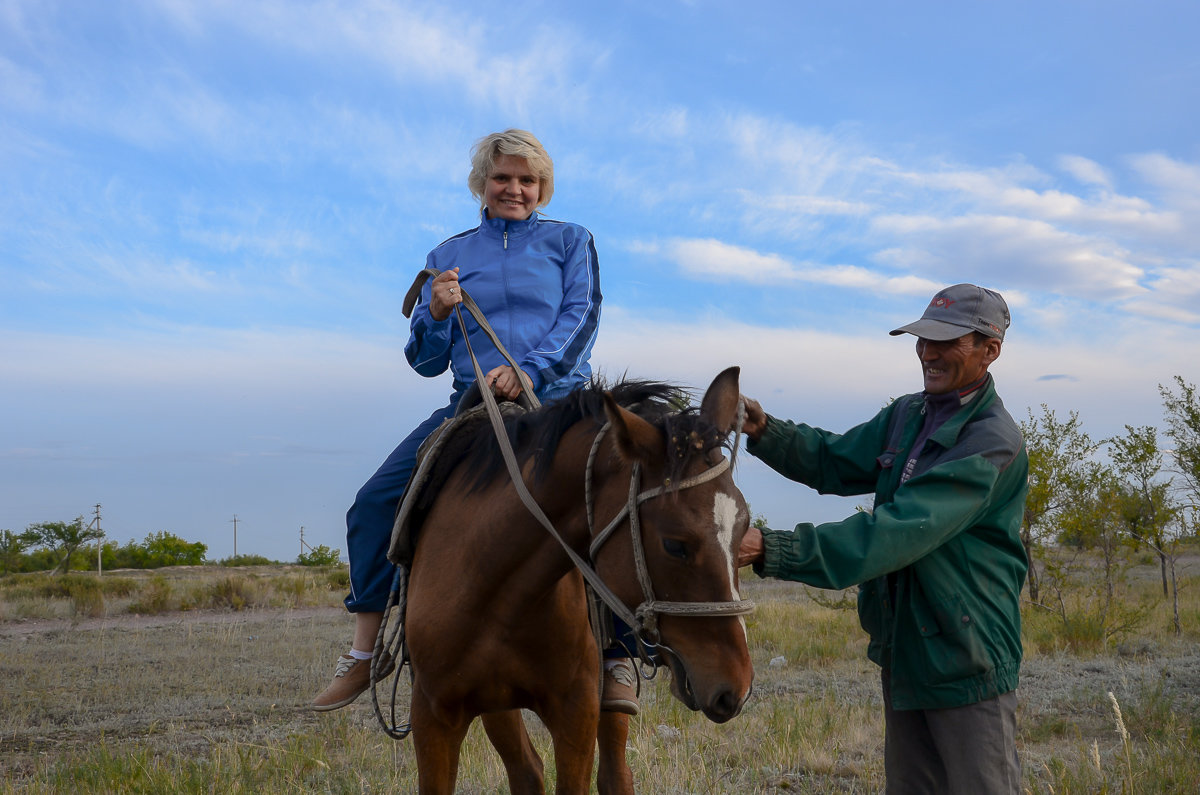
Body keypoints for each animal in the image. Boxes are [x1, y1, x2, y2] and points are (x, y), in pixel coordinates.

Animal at [398, 369, 753, 795]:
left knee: (613, 773)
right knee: (527, 769)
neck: (492, 590)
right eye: (675, 545)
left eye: (744, 528)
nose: (736, 688)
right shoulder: (433, 716)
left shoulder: (576, 712)